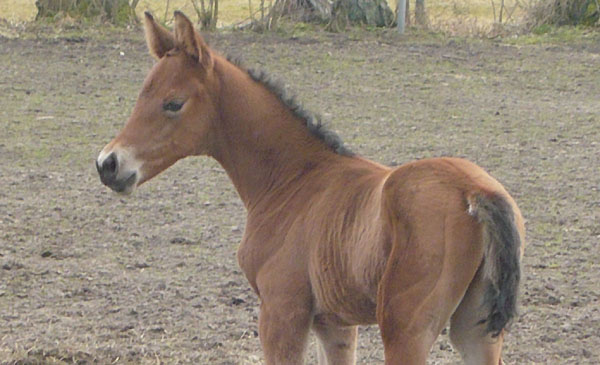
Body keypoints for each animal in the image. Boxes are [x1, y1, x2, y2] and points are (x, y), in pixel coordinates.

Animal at [95, 10, 524, 362]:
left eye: (173, 103)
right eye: (141, 95)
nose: (108, 164)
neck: (293, 180)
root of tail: (475, 192)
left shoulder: (281, 311)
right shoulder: (334, 324)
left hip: (405, 329)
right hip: (475, 331)